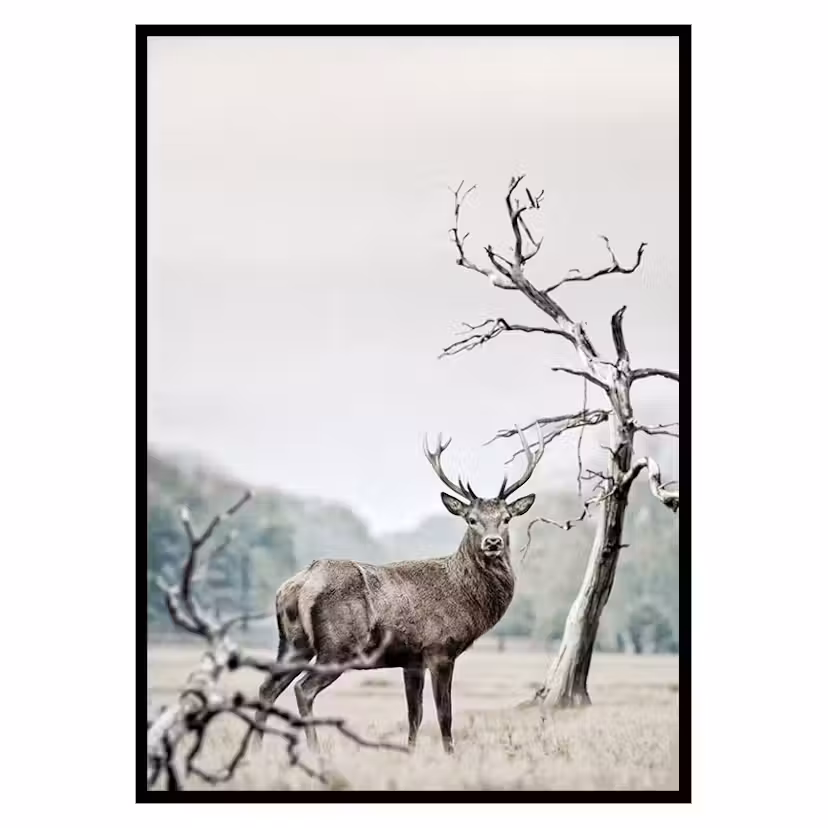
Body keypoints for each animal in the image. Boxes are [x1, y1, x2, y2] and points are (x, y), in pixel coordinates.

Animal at [255, 426, 544, 754]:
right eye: (471, 520)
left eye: (506, 519)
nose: (492, 542)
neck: (465, 597)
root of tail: (298, 584)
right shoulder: (440, 649)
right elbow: (444, 714)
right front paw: (450, 755)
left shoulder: (411, 659)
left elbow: (414, 714)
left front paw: (410, 752)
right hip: (337, 646)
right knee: (303, 690)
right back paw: (315, 751)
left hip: (293, 644)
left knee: (267, 687)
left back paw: (256, 749)